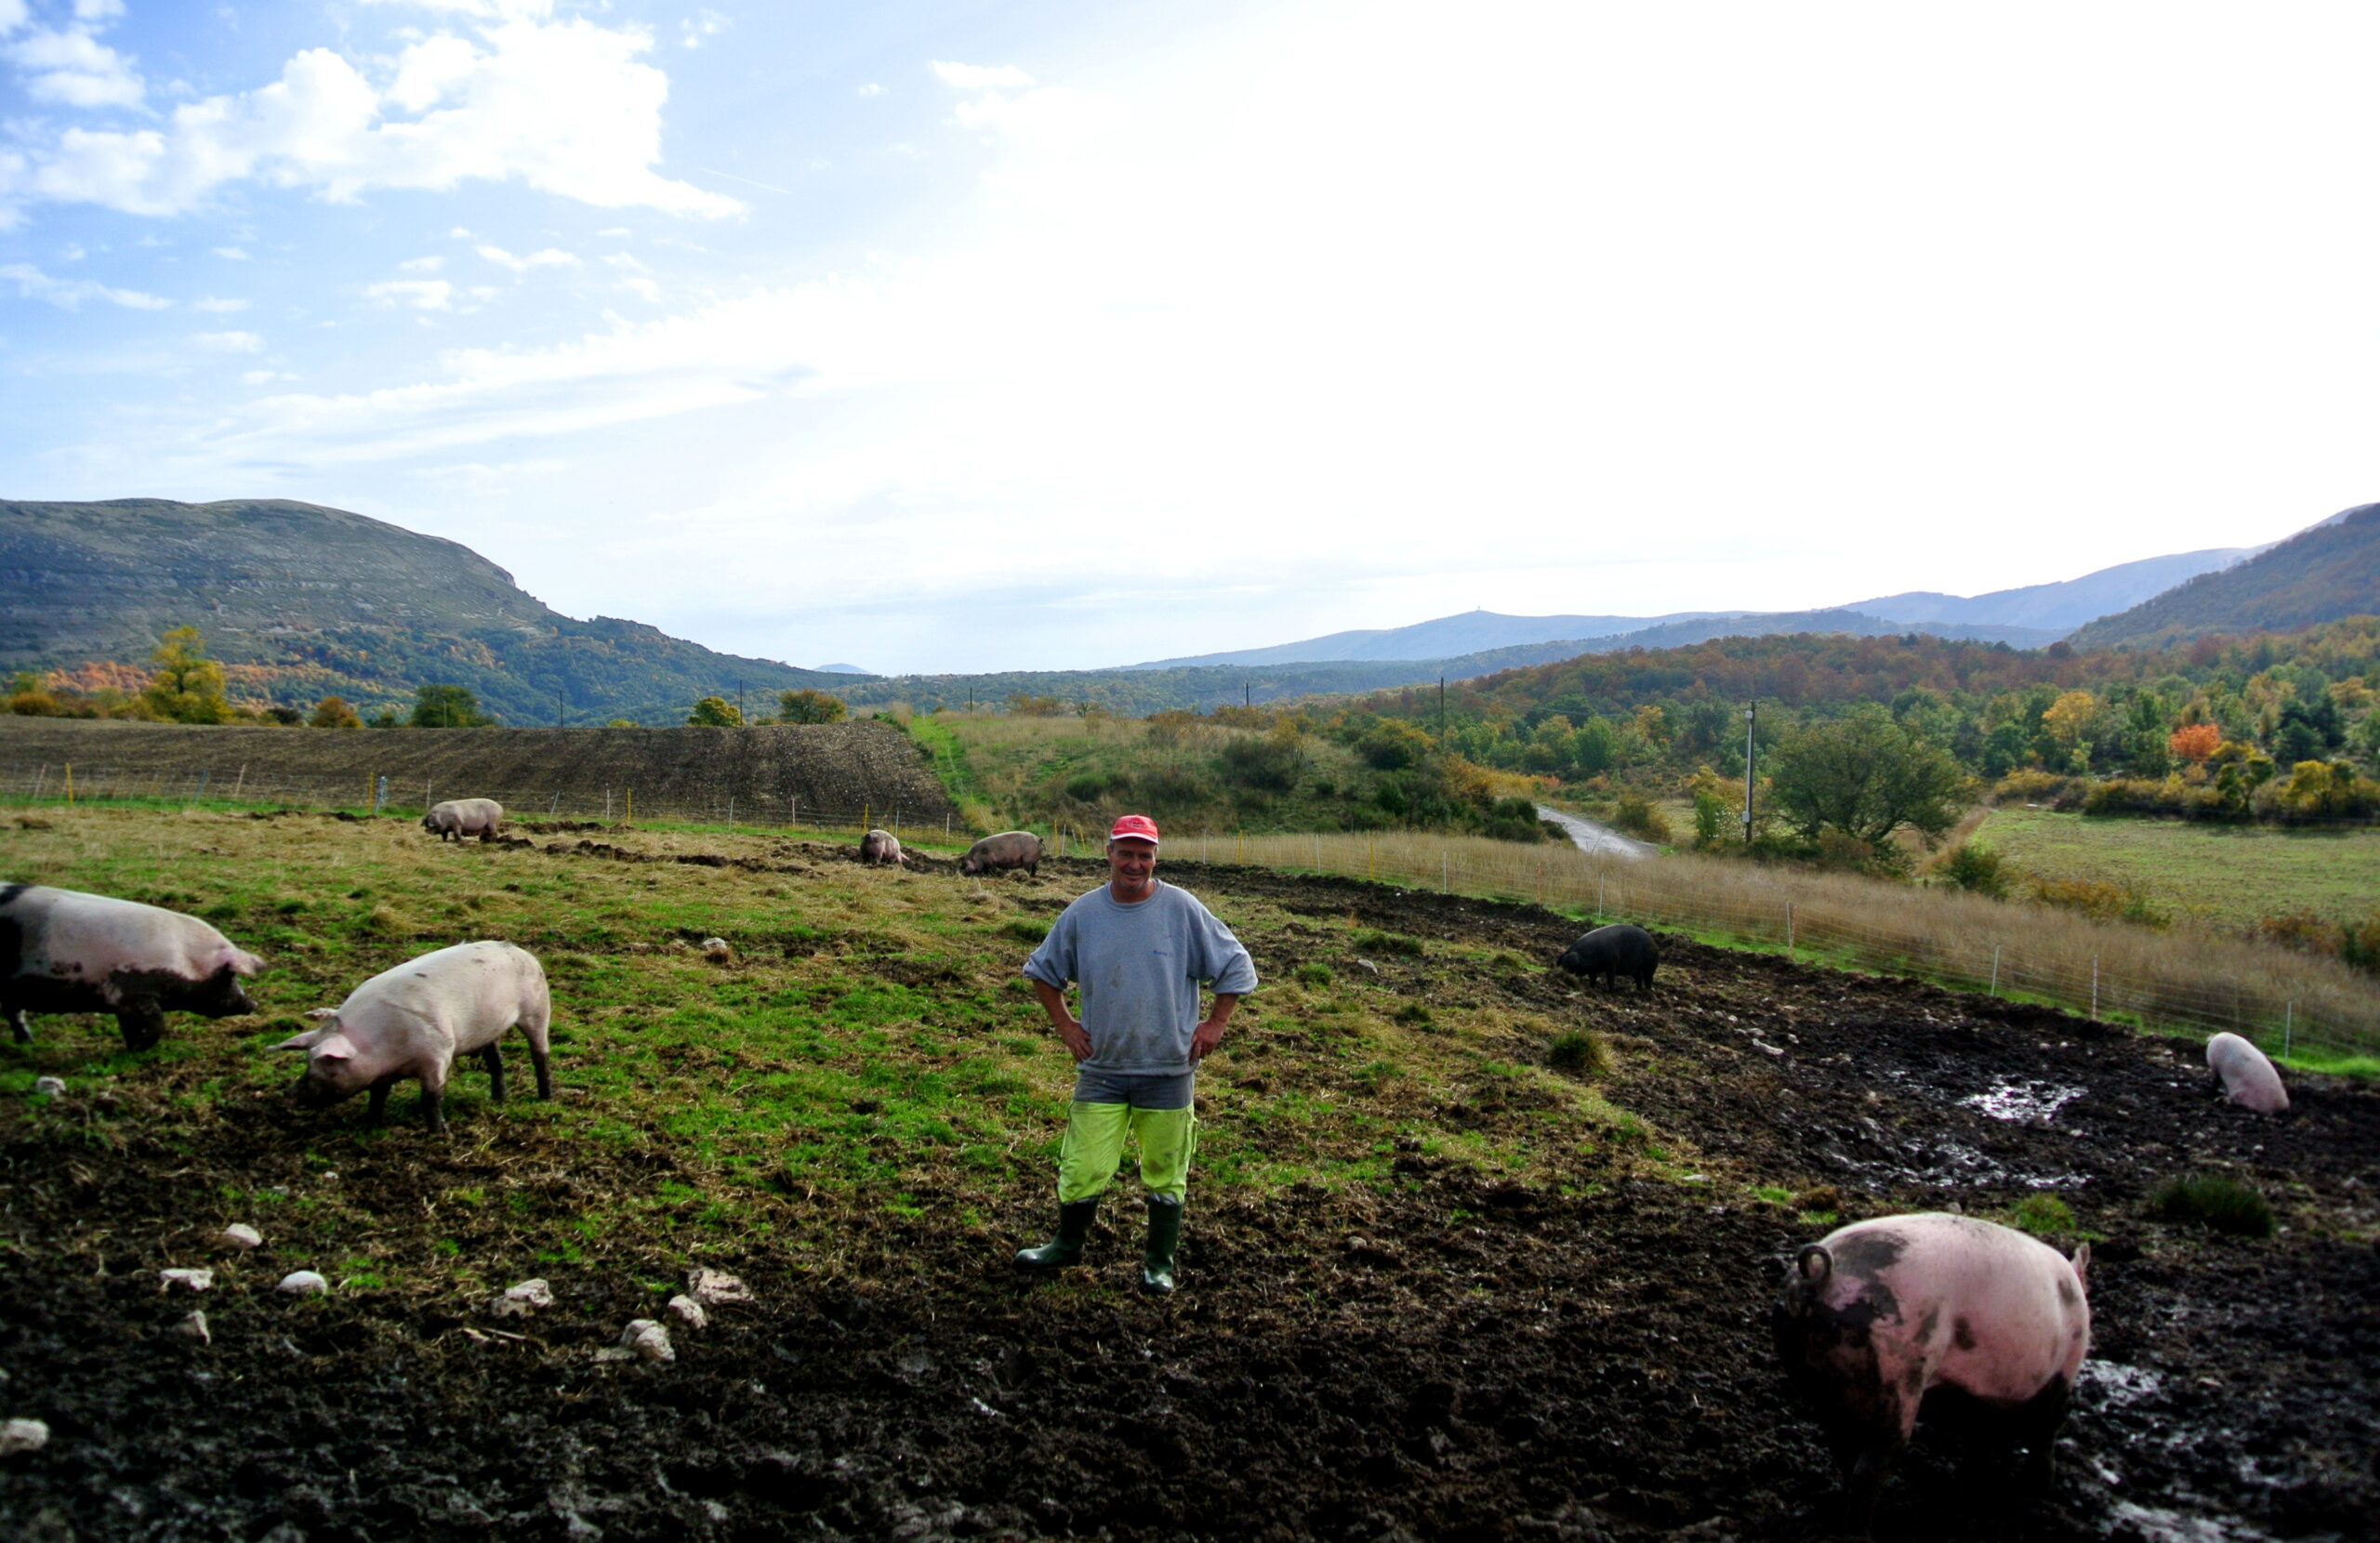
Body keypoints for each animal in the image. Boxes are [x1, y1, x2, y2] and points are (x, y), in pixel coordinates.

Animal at [0, 885, 262, 1052]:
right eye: (229, 977)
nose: (253, 1004)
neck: (183, 958)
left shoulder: (118, 999)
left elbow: (128, 1025)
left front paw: (132, 1048)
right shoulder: (131, 989)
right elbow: (156, 1022)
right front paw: (140, 1048)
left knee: (13, 1012)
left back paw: (28, 1044)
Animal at [278, 933, 551, 1138]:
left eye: (328, 1064)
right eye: (307, 1061)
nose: (288, 1096)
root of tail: (518, 949)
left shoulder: (438, 1052)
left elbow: (430, 1097)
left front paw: (440, 1135)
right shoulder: (382, 1074)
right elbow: (377, 1096)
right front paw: (371, 1127)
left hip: (537, 1007)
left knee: (540, 1054)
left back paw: (545, 1097)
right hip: (488, 1029)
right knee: (496, 1061)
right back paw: (498, 1100)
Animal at [1779, 1219, 2094, 1533]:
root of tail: (1817, 1277)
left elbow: (1982, 1436)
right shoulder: (2063, 1373)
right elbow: (2047, 1428)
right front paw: (2038, 1487)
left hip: (1815, 1378)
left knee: (1842, 1447)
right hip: (1895, 1374)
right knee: (1873, 1463)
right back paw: (1866, 1532)